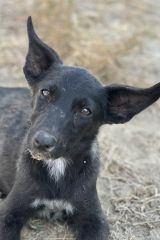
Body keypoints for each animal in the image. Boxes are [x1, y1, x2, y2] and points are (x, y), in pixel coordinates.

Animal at [0, 15, 159, 239]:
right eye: (45, 92)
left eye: (85, 111)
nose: (42, 142)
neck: (58, 168)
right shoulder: (8, 212)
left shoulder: (95, 219)